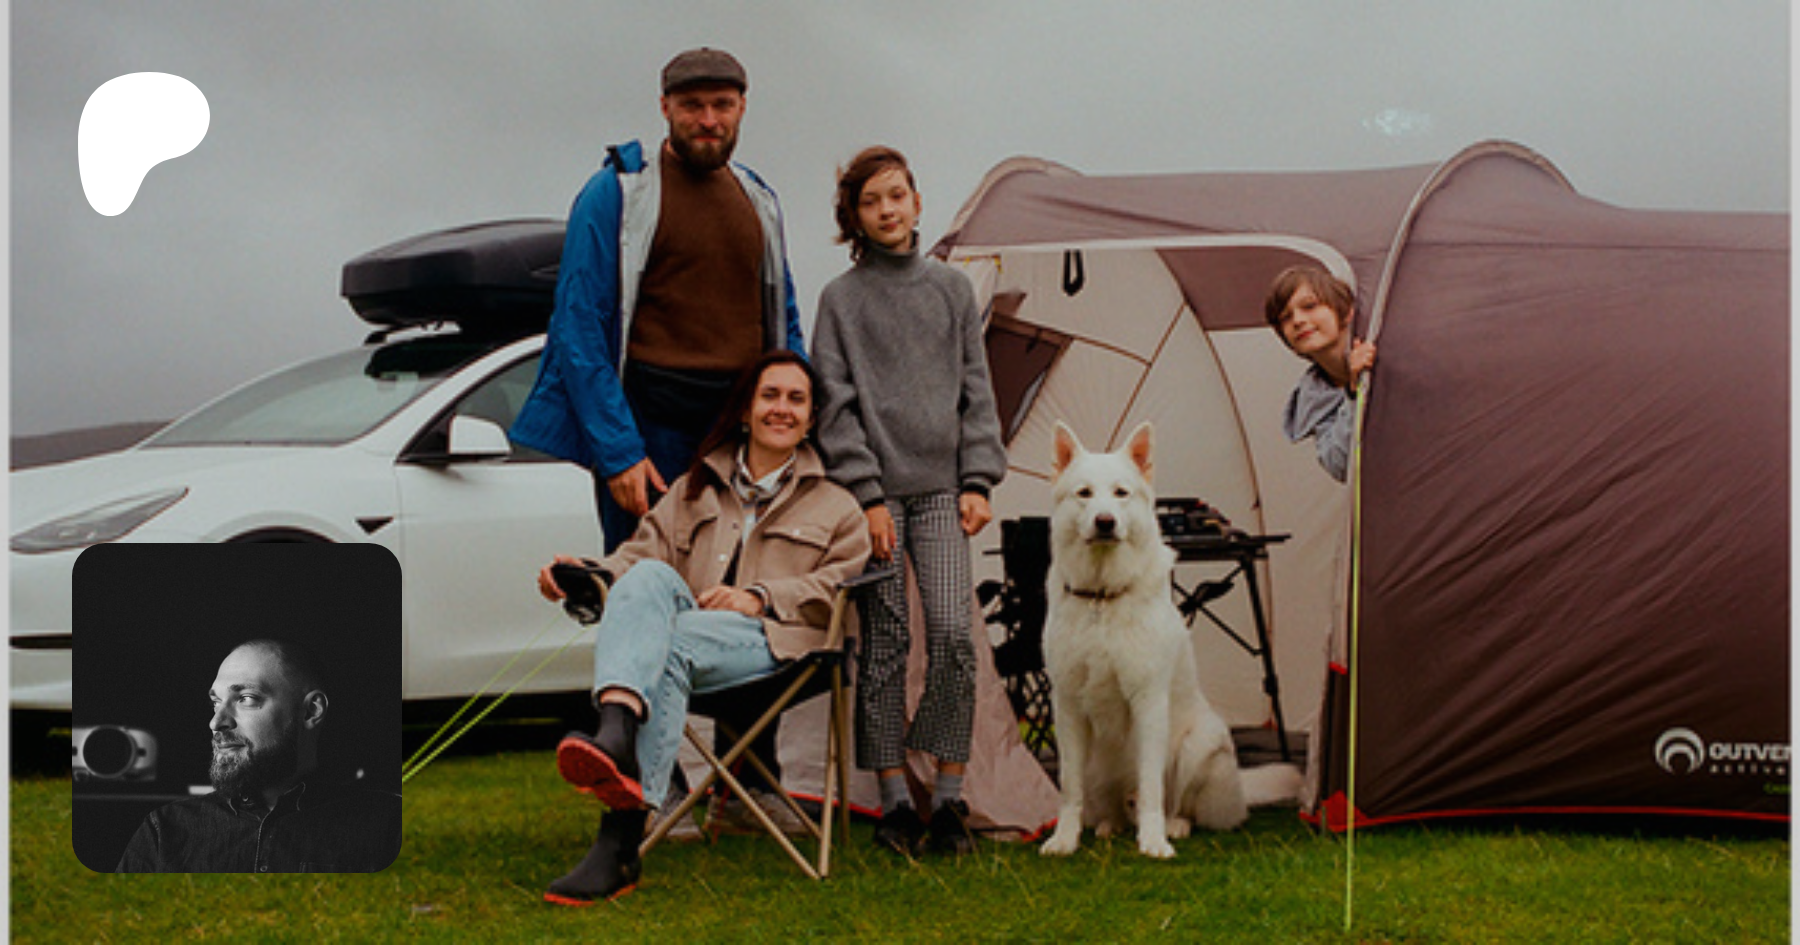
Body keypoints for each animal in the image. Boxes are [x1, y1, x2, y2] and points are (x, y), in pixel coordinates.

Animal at [1039, 421, 1300, 859]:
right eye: (1085, 493)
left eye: (1121, 493)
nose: (1105, 522)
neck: (1102, 597)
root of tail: (1240, 794)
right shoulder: (1068, 706)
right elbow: (1068, 787)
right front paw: (1064, 839)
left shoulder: (1148, 701)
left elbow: (1151, 787)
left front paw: (1154, 840)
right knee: (1111, 807)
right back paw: (1109, 825)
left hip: (1203, 742)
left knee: (1181, 805)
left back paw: (1175, 825)